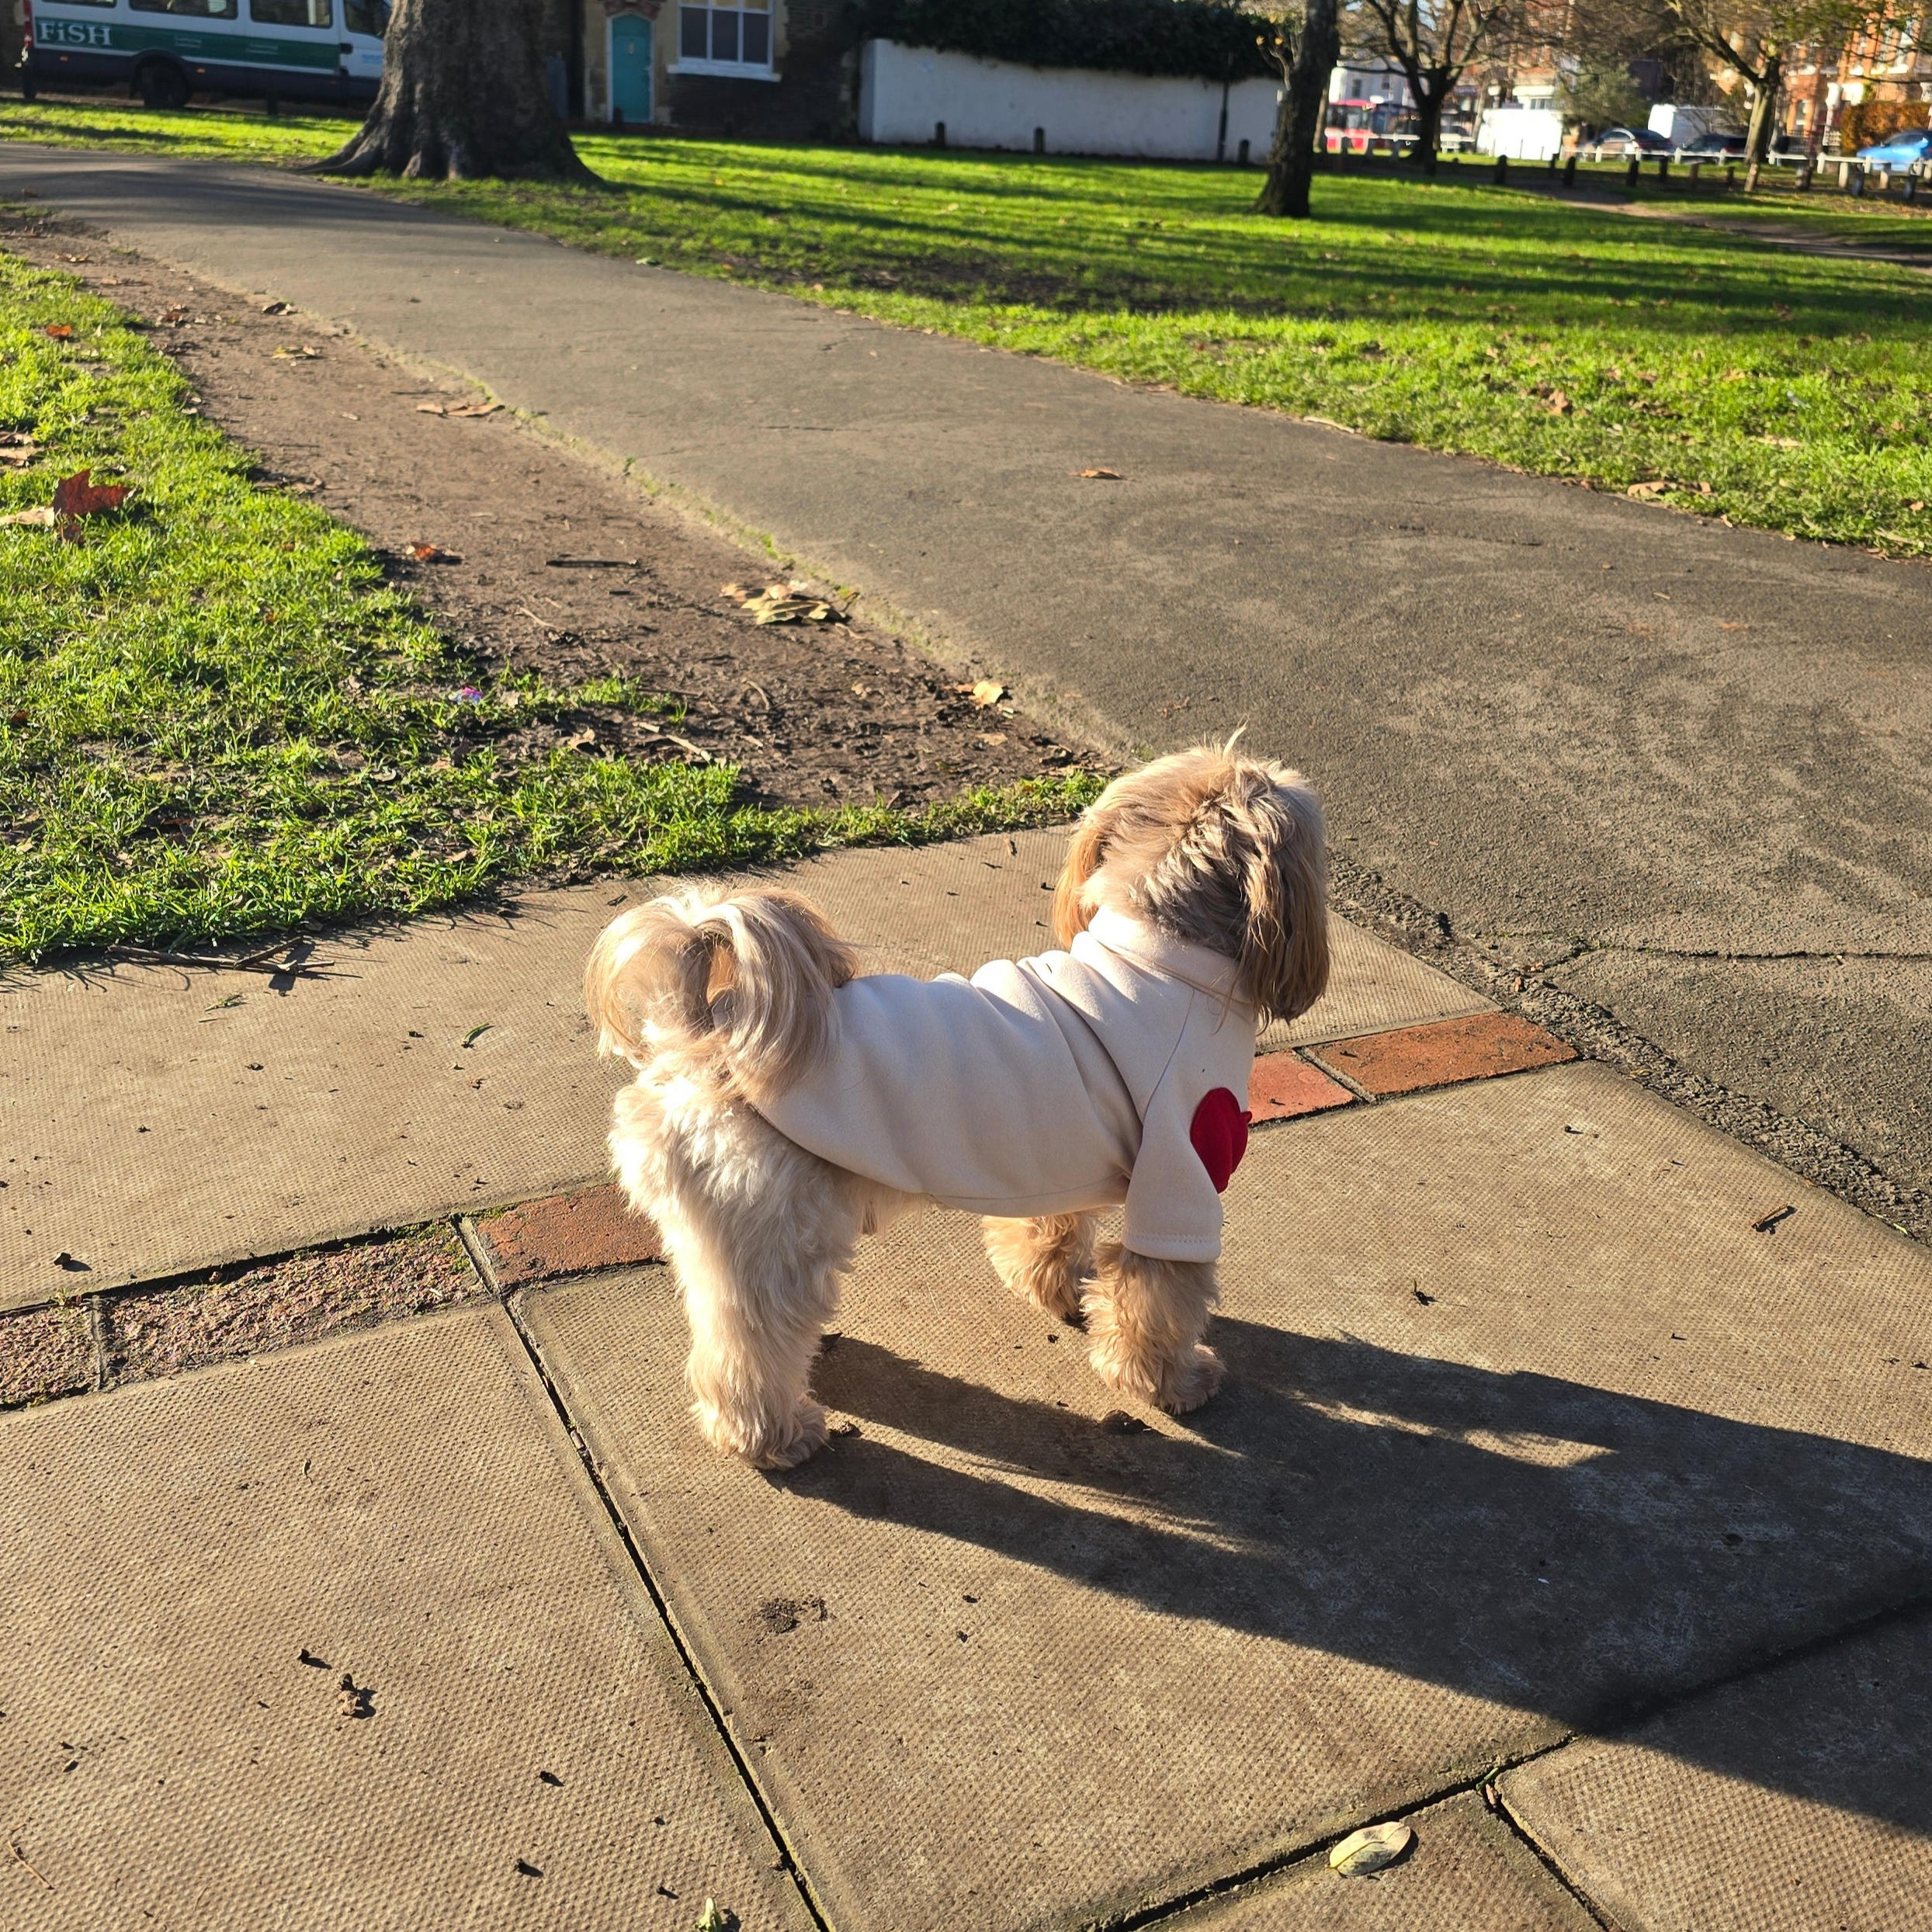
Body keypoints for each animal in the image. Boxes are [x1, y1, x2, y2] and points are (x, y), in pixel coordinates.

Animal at [583, 745, 1329, 1468]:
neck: (1159, 959)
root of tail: (699, 1039)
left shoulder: (1054, 1158)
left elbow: (1053, 1230)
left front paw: (1054, 1287)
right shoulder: (1180, 1172)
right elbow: (1158, 1301)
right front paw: (1173, 1380)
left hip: (722, 1238)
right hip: (775, 1234)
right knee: (746, 1350)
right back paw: (773, 1435)